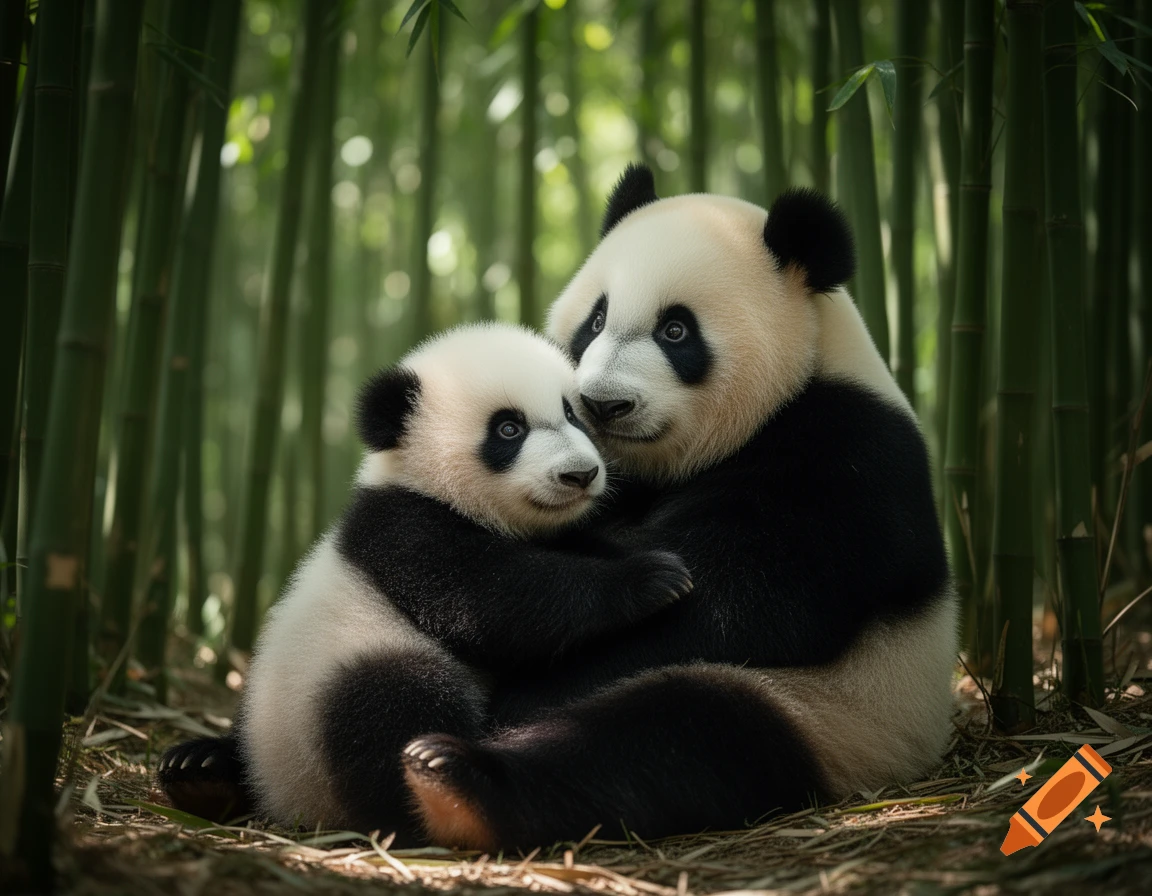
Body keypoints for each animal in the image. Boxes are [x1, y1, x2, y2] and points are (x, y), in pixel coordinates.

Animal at [158, 322, 693, 841]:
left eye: (572, 414)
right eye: (508, 428)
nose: (580, 474)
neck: (432, 486)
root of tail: (279, 795)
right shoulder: (403, 530)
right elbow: (492, 600)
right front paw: (651, 578)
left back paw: (201, 772)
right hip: (329, 683)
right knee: (389, 702)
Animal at [397, 166, 958, 852]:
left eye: (676, 331)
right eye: (595, 320)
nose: (601, 404)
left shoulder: (844, 461)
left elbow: (737, 601)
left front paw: (520, 696)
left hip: (833, 713)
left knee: (670, 735)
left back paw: (460, 778)